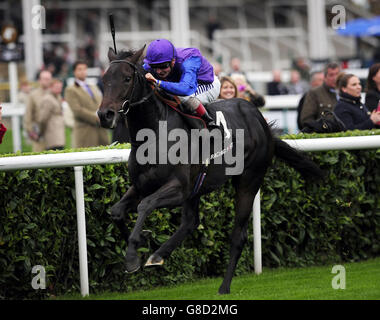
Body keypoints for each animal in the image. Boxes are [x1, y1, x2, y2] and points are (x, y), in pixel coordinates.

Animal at [97, 46, 324, 294]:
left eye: (127, 78)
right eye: (104, 79)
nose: (105, 115)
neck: (154, 134)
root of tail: (261, 122)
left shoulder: (179, 188)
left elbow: (145, 205)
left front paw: (131, 256)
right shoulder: (142, 185)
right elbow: (116, 211)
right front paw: (142, 244)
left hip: (249, 180)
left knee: (238, 235)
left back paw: (224, 286)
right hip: (198, 188)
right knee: (190, 222)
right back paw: (157, 255)